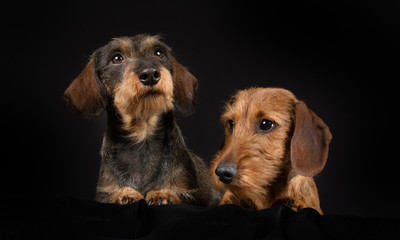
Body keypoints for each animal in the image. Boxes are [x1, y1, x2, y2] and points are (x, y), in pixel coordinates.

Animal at [64, 34, 217, 207]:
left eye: (159, 53)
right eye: (117, 58)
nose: (150, 74)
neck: (142, 134)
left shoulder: (197, 195)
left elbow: (184, 196)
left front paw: (164, 194)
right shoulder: (103, 192)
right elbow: (111, 195)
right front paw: (124, 194)